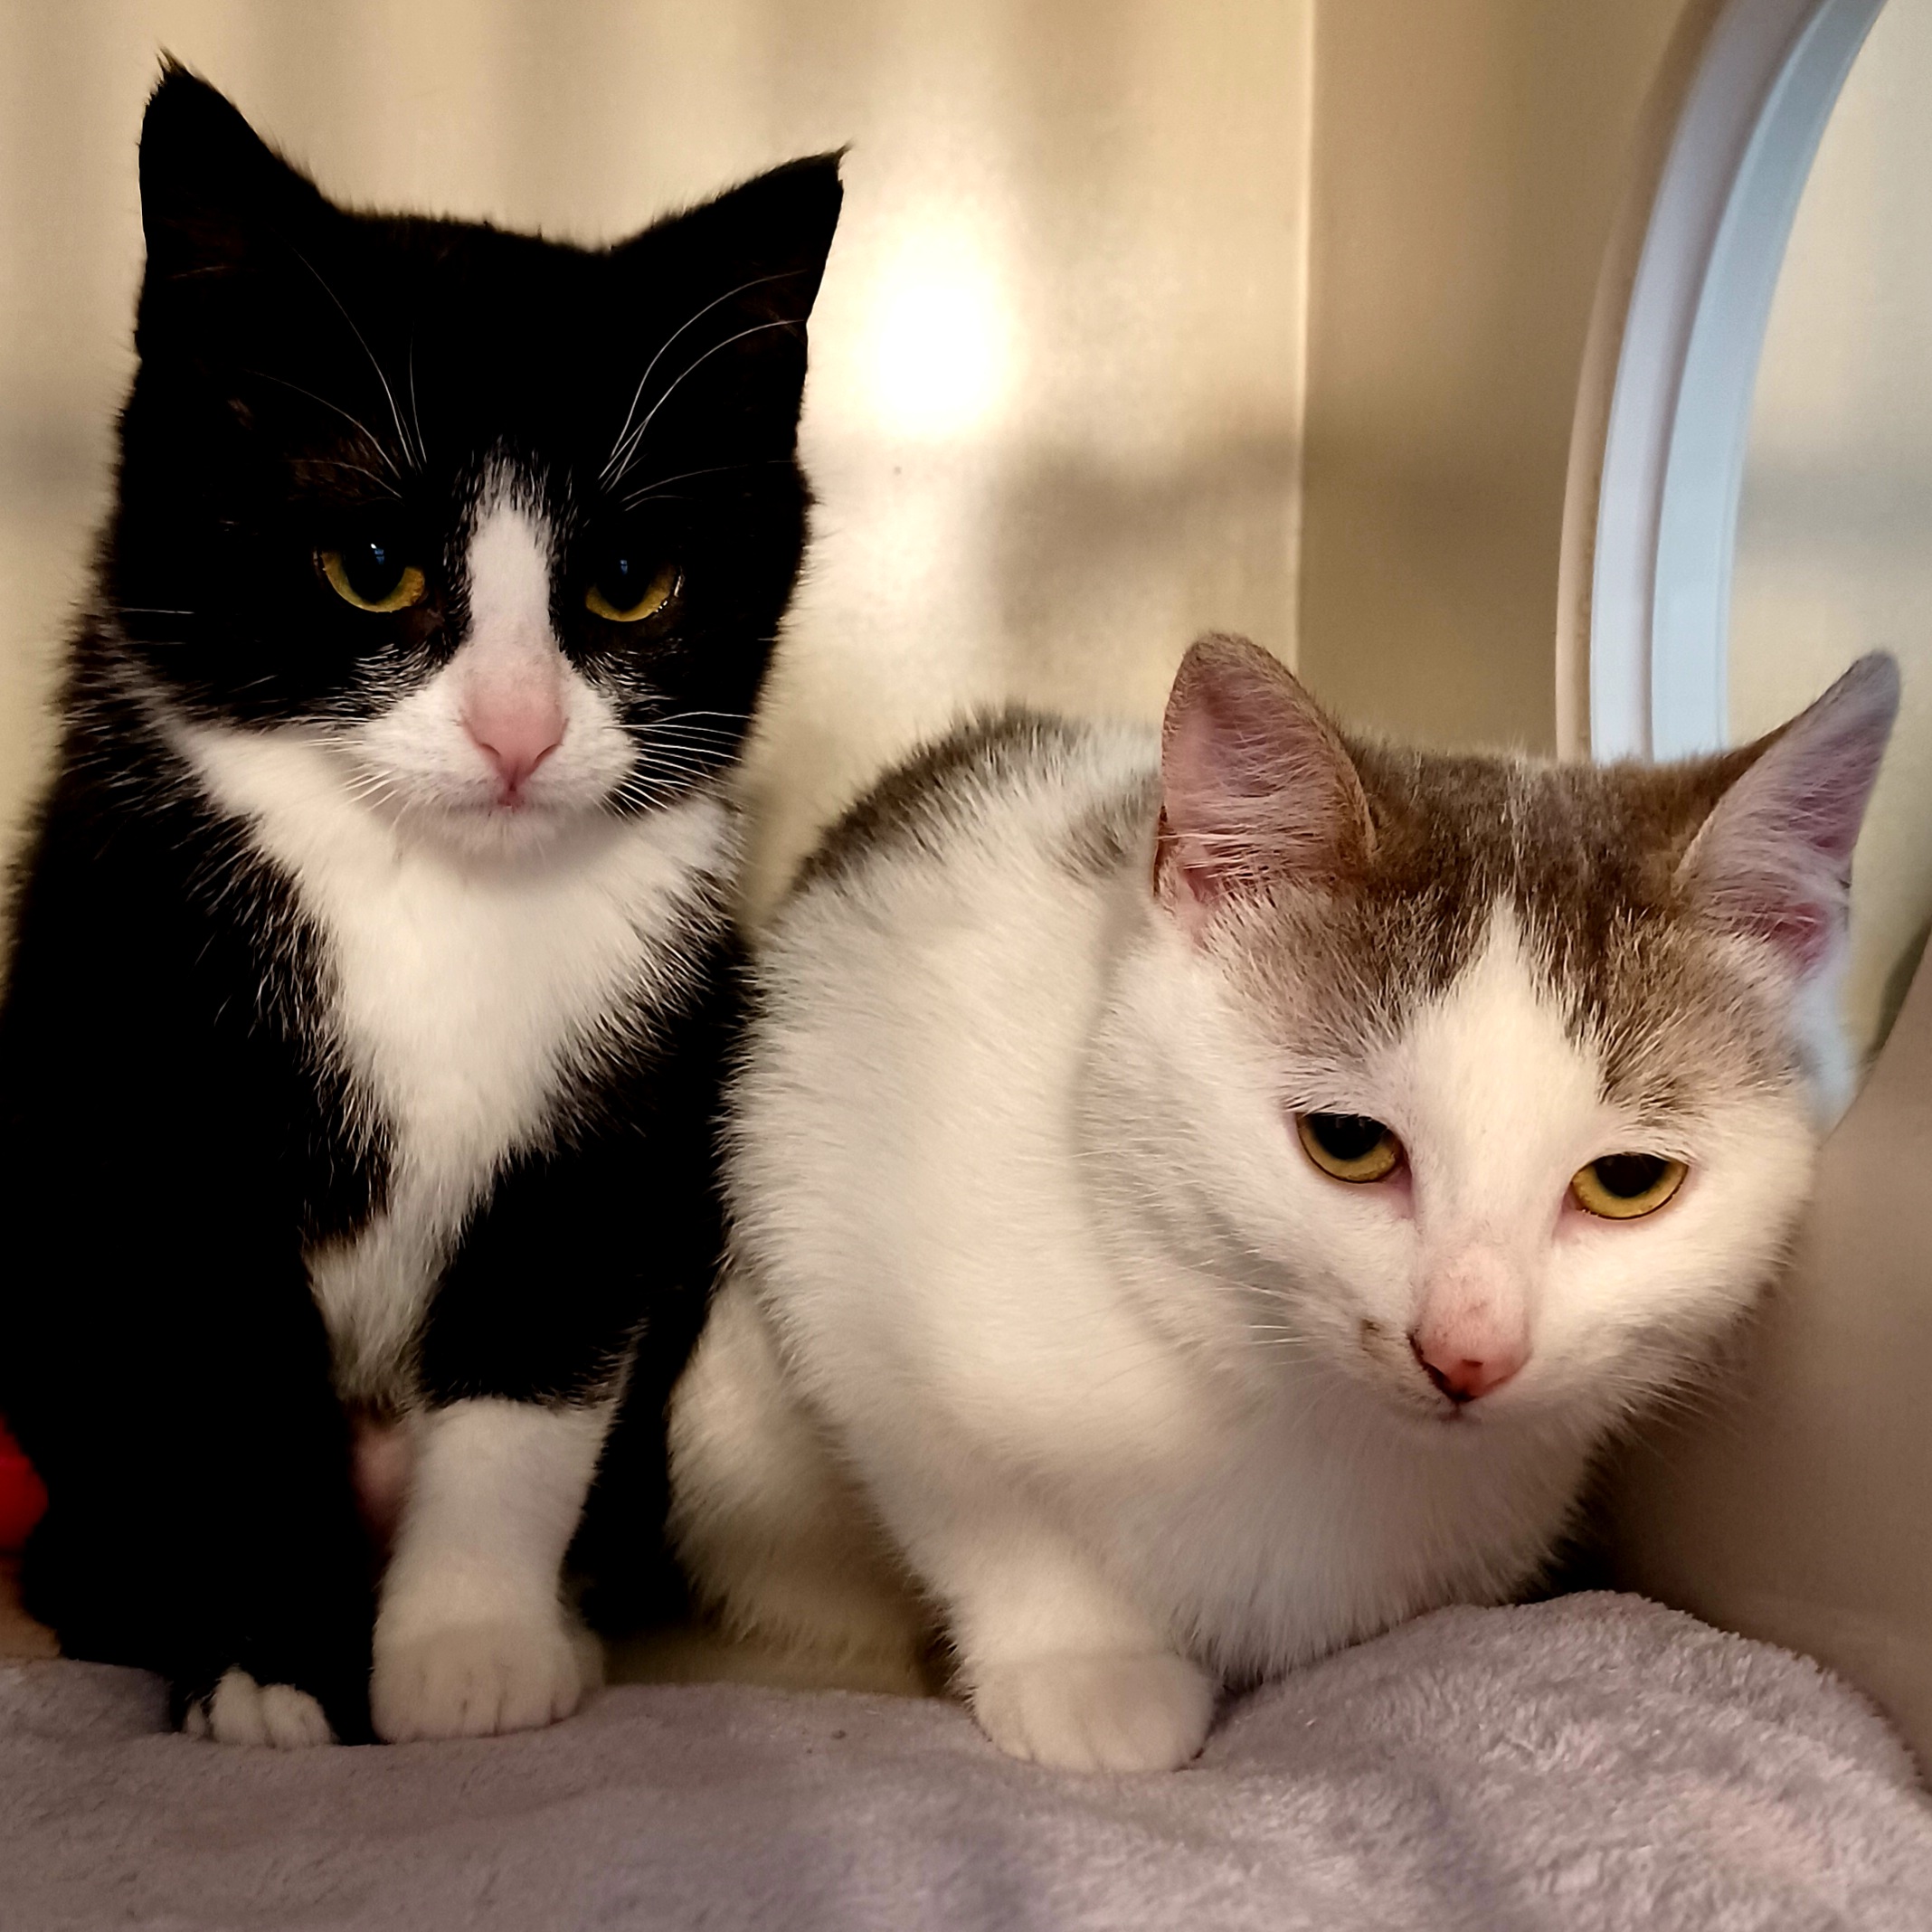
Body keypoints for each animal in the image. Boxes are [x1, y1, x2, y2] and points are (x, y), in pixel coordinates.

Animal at [0, 67, 840, 1747]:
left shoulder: (627, 1106)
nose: (517, 730)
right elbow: (227, 1385)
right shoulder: (149, 1066)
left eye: (632, 581)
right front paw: (275, 1669)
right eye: (374, 566)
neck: (432, 899)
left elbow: (535, 1367)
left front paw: (472, 1651)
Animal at [669, 632, 1897, 1772]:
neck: (1296, 1414)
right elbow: (976, 1501)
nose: (1469, 1352)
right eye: (1347, 1143)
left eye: (1628, 1182)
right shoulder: (831, 1204)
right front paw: (1084, 1665)